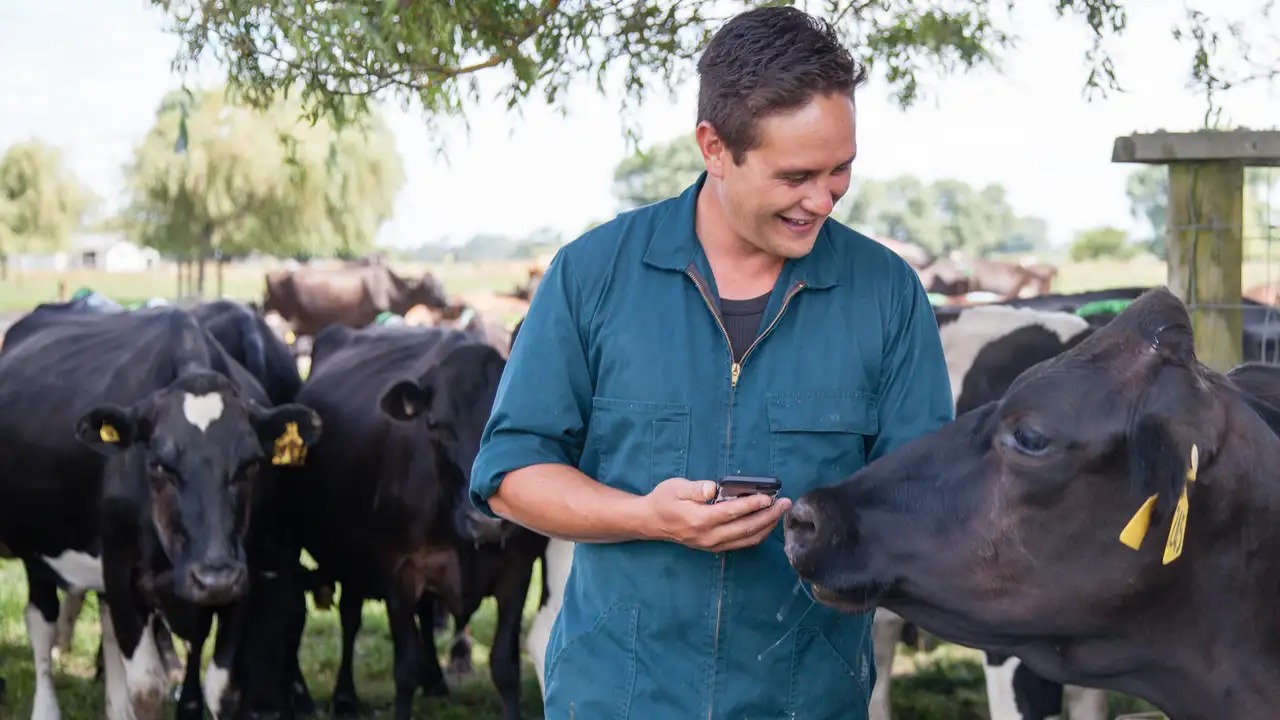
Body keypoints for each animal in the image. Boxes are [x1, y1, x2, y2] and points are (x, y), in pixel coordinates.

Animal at [0, 304, 318, 712]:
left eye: (250, 464)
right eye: (159, 465)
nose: (214, 578)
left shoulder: (243, 577)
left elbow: (220, 688)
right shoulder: (121, 573)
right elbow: (148, 689)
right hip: (38, 548)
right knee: (41, 622)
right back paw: (47, 708)